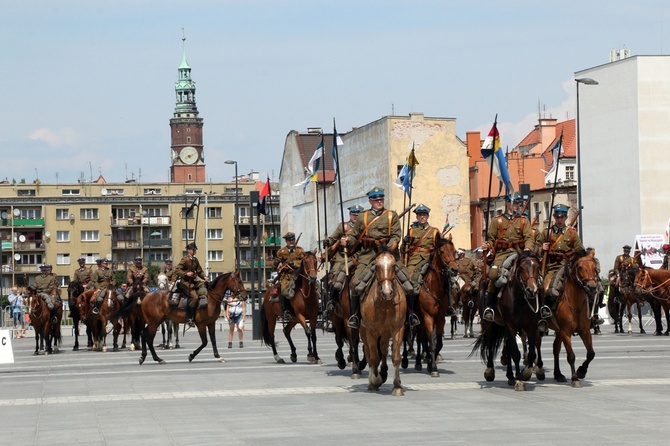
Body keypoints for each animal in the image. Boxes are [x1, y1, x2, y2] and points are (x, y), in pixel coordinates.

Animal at [360, 249, 406, 396]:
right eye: (376, 266)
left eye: (394, 265)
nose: (387, 292)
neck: (385, 303)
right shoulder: (371, 331)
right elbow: (374, 358)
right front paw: (375, 380)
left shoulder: (398, 328)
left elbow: (396, 357)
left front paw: (397, 386)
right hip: (364, 331)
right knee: (369, 354)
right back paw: (373, 380)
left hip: (385, 333)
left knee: (384, 350)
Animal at [414, 237, 462, 376]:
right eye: (442, 251)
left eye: (454, 251)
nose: (454, 269)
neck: (433, 287)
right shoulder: (428, 318)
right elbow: (431, 343)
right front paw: (434, 368)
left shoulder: (440, 318)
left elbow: (438, 343)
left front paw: (431, 364)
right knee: (418, 339)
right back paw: (415, 361)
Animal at [544, 247, 600, 386]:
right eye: (580, 267)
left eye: (594, 267)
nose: (592, 287)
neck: (575, 304)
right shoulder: (566, 332)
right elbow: (571, 356)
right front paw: (575, 378)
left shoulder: (584, 331)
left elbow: (591, 353)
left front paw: (581, 371)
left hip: (558, 330)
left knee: (556, 348)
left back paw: (558, 374)